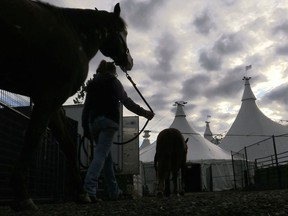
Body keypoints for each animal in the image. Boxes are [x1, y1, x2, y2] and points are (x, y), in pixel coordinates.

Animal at [0, 0, 133, 211]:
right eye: (123, 32)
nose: (129, 62)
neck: (75, 35)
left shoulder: (51, 102)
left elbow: (68, 144)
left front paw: (82, 194)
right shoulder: (51, 96)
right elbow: (32, 137)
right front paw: (22, 195)